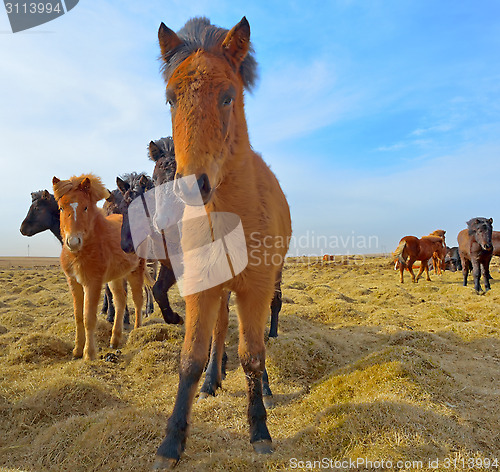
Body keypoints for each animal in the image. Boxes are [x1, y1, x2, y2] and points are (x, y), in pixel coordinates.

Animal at [53, 173, 146, 362]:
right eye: (61, 208)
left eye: (85, 207)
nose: (73, 242)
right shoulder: (74, 283)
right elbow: (78, 317)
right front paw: (77, 351)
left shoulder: (93, 283)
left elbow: (89, 318)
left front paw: (89, 354)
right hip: (116, 277)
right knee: (120, 301)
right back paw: (115, 340)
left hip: (135, 271)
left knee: (138, 300)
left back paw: (136, 331)